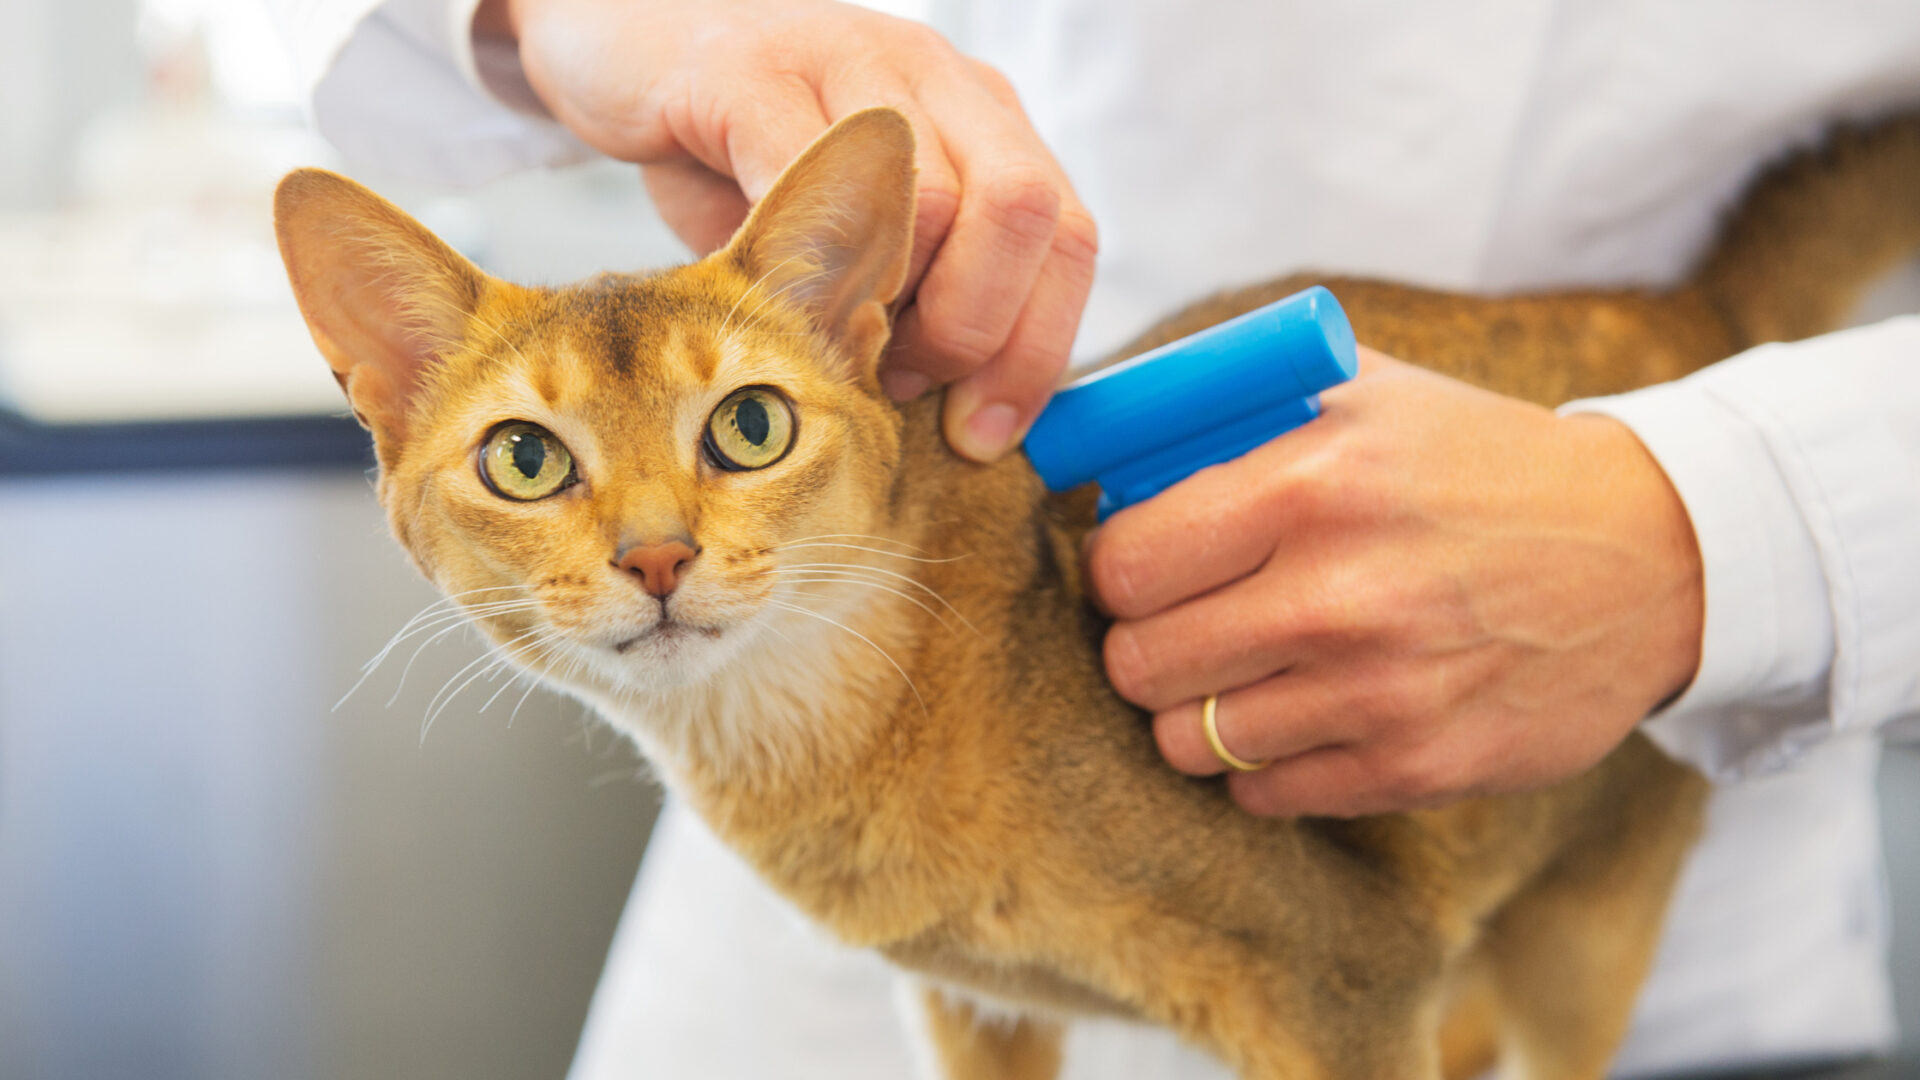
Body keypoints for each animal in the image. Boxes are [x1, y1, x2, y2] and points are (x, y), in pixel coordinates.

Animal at [270, 105, 1920, 1068]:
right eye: (525, 459)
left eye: (747, 427)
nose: (657, 557)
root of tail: (1683, 303)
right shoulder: (971, 1010)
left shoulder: (1349, 983)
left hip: (1585, 931)